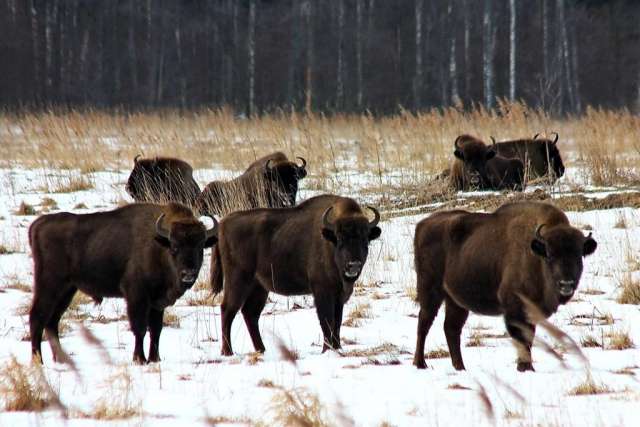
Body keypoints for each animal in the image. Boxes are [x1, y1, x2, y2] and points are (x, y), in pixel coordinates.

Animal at [28, 204, 218, 364]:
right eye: (174, 247)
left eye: (200, 247)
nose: (188, 274)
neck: (158, 246)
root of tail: (38, 224)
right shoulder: (137, 297)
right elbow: (140, 328)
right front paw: (139, 359)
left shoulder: (157, 304)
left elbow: (156, 330)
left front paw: (155, 359)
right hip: (49, 286)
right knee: (37, 318)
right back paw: (38, 361)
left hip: (67, 290)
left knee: (52, 322)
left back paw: (60, 359)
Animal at [210, 196, 380, 356]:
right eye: (339, 238)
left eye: (365, 238)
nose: (354, 265)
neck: (328, 241)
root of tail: (223, 224)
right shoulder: (322, 291)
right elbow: (326, 320)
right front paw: (327, 349)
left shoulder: (339, 296)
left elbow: (337, 322)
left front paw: (337, 348)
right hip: (238, 281)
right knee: (228, 310)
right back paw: (228, 351)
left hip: (259, 287)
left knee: (250, 313)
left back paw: (261, 349)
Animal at [412, 202, 596, 372]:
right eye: (550, 255)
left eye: (579, 255)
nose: (566, 284)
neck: (536, 255)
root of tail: (422, 224)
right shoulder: (515, 308)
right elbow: (522, 338)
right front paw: (524, 367)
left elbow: (529, 337)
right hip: (430, 291)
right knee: (424, 323)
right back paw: (420, 363)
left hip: (455, 301)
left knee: (451, 329)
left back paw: (460, 367)